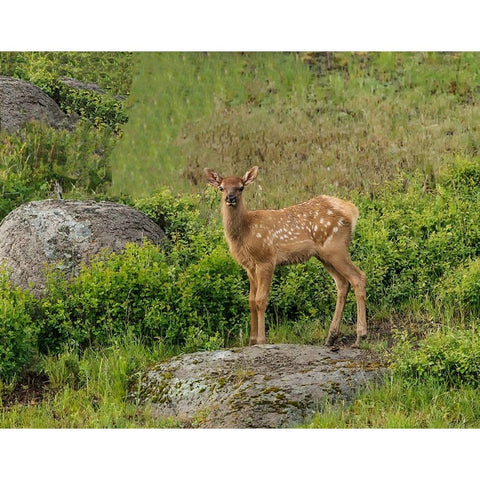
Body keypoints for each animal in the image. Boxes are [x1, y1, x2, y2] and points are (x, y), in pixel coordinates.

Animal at [203, 167, 368, 346]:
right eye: (221, 187)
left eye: (241, 187)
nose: (230, 198)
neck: (246, 232)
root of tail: (352, 210)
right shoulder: (249, 267)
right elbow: (251, 300)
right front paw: (251, 341)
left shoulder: (266, 259)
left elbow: (261, 300)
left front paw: (261, 340)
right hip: (324, 255)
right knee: (343, 283)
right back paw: (331, 337)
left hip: (336, 248)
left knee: (358, 277)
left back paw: (361, 335)